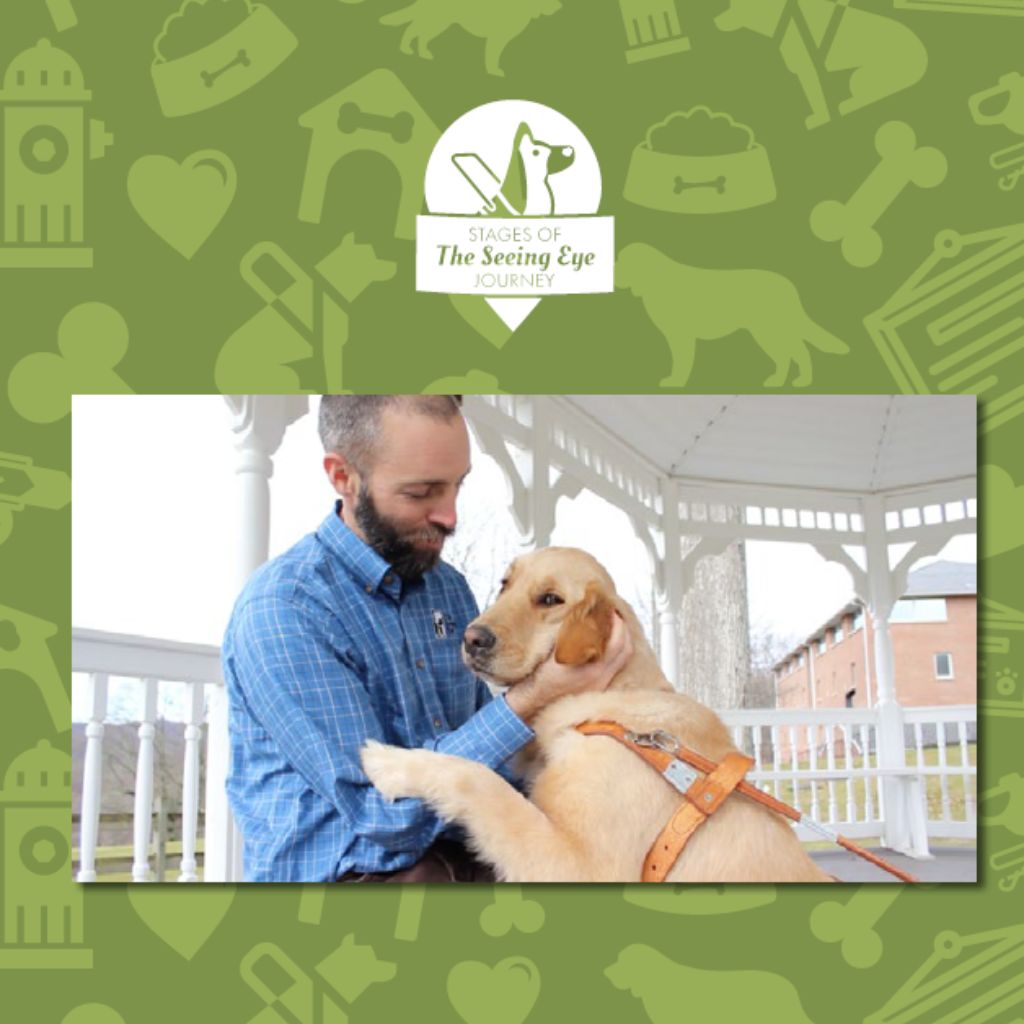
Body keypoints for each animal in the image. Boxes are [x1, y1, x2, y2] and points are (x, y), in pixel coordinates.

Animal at [360, 548, 831, 884]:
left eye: (550, 600)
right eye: (505, 584)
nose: (471, 638)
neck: (609, 705)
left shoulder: (582, 867)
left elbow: (477, 780)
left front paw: (389, 762)